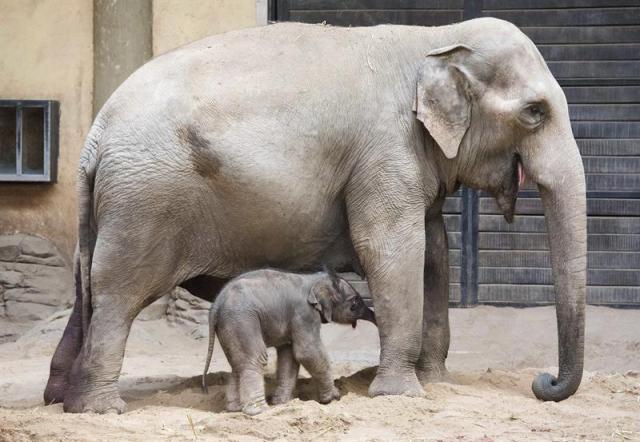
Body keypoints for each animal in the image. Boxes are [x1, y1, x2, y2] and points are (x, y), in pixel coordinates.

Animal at [202, 268, 378, 416]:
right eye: (354, 303)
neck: (313, 278)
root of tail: (216, 304)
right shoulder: (304, 313)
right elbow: (307, 352)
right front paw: (333, 397)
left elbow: (289, 355)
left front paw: (282, 402)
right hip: (241, 320)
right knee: (255, 358)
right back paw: (259, 411)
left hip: (229, 325)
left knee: (238, 363)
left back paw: (234, 409)